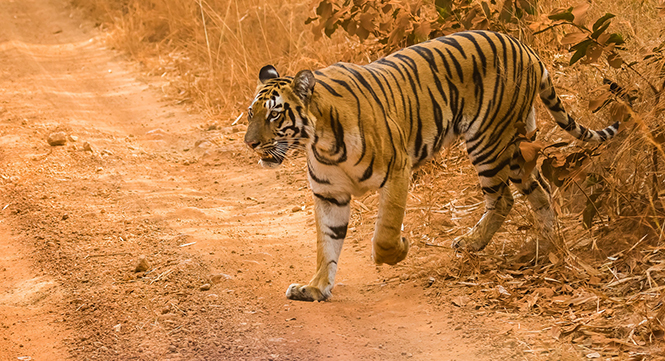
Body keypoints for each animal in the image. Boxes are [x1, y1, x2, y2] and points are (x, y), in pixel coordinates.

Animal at [245, 28, 624, 300]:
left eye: (275, 114)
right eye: (251, 113)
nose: (250, 143)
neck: (320, 141)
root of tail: (526, 48)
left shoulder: (398, 171)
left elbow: (384, 231)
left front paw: (397, 251)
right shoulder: (329, 195)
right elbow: (327, 243)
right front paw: (315, 288)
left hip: (488, 141)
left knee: (503, 198)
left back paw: (473, 243)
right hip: (516, 147)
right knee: (540, 191)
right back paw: (544, 249)